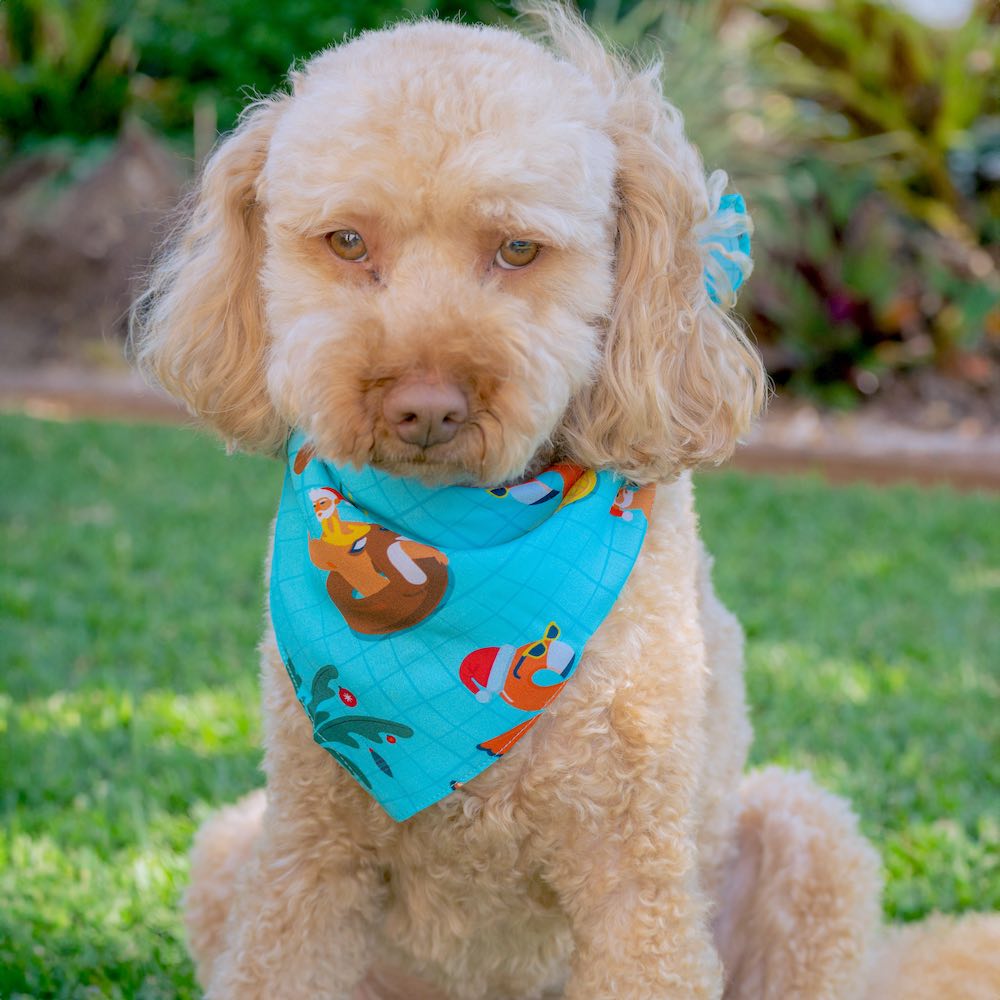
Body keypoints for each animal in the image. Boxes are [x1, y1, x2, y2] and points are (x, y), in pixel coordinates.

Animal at [133, 3, 1000, 996]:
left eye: (518, 249)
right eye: (347, 242)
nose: (424, 404)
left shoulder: (637, 884)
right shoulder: (307, 860)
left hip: (810, 837)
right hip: (227, 849)